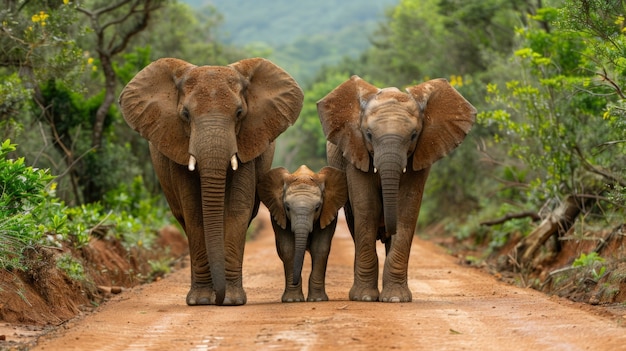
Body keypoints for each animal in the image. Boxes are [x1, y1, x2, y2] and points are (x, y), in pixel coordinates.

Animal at [119, 57, 302, 306]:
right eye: (185, 114)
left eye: (239, 113)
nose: (219, 298)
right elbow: (194, 212)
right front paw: (201, 301)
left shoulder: (247, 143)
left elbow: (236, 210)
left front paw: (232, 300)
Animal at [258, 165, 348, 302]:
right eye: (287, 207)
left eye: (317, 207)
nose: (295, 281)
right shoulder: (278, 213)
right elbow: (288, 249)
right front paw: (293, 300)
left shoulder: (328, 212)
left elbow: (320, 248)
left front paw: (318, 300)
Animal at [316, 75, 472, 304]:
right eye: (368, 135)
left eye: (414, 135)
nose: (387, 229)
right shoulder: (355, 153)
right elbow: (367, 207)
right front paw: (364, 298)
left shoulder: (421, 154)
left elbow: (407, 208)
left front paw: (396, 299)